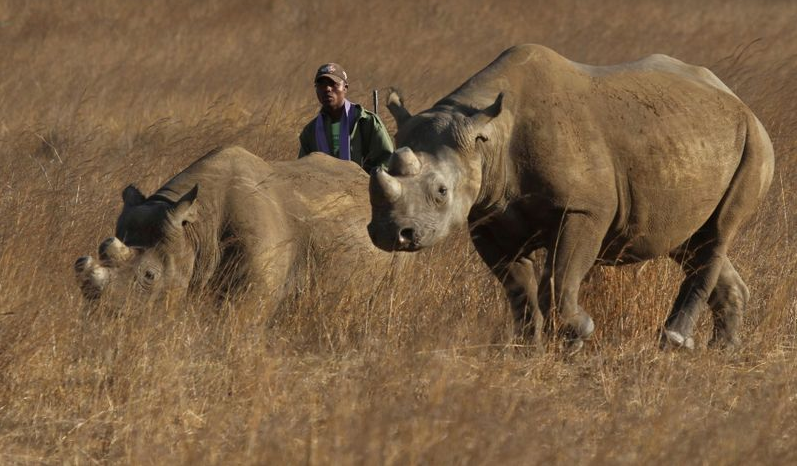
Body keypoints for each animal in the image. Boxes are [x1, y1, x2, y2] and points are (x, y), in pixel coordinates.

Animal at [368, 44, 774, 350]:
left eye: (441, 192)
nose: (392, 233)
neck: (488, 138)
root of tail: (737, 98)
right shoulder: (486, 215)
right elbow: (517, 287)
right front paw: (526, 346)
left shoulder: (584, 210)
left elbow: (560, 277)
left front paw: (576, 336)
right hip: (693, 139)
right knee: (688, 241)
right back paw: (722, 349)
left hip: (754, 143)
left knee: (718, 233)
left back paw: (675, 341)